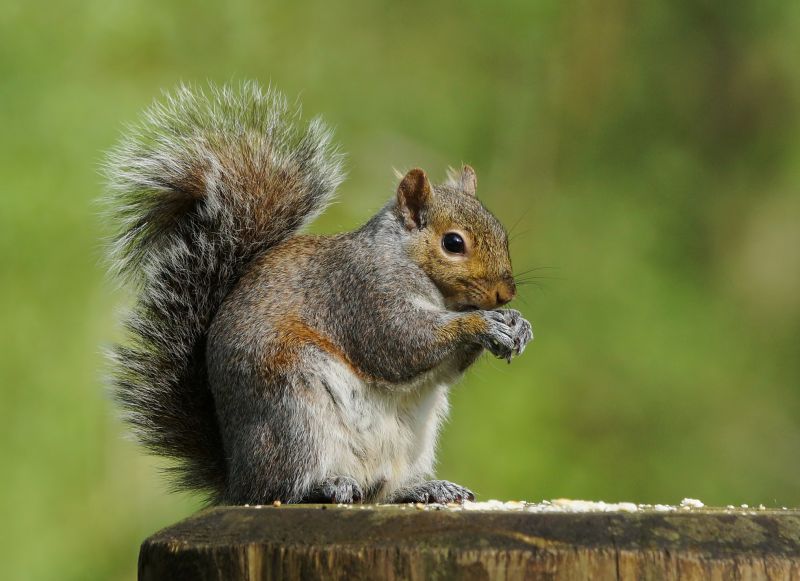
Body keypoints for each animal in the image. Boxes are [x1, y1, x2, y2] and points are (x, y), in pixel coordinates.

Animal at [104, 82, 533, 505]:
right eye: (453, 243)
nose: (505, 294)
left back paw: (425, 488)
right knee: (284, 488)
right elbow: (400, 344)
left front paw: (517, 325)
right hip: (294, 413)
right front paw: (482, 323)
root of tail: (237, 481)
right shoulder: (361, 294)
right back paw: (325, 486)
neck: (407, 262)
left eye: (502, 233)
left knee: (383, 490)